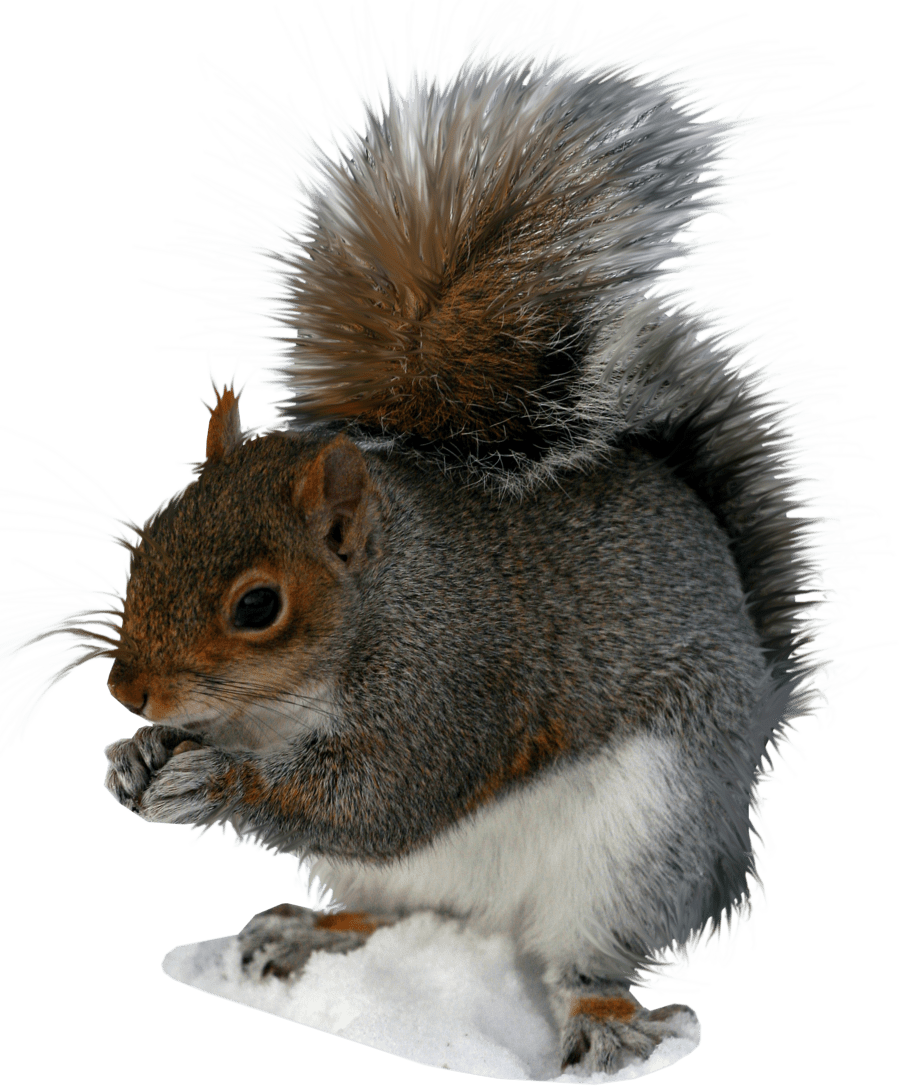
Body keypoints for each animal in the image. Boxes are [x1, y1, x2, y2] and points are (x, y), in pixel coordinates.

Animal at [2, 2, 879, 1077]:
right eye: (147, 542)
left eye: (259, 606)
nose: (130, 690)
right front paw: (134, 757)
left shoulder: (453, 682)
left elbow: (382, 796)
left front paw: (211, 777)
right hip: (411, 884)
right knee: (393, 906)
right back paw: (310, 933)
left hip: (643, 840)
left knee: (585, 954)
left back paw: (603, 1022)